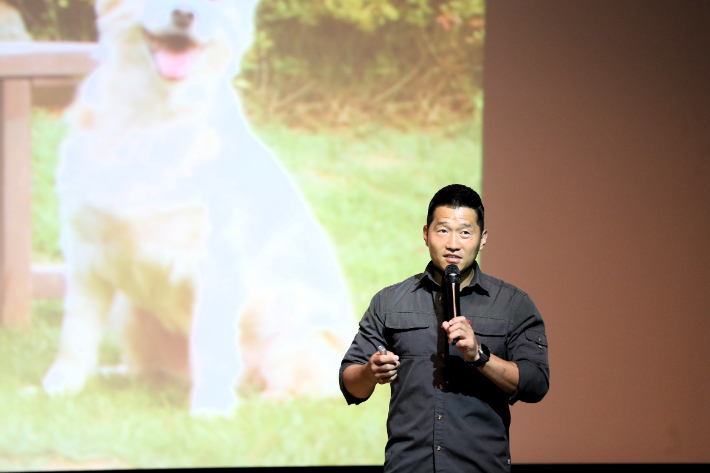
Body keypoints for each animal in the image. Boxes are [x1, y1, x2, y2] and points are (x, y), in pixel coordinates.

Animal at [43, 0, 354, 412]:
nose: (184, 15)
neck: (152, 117)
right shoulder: (86, 254)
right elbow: (74, 337)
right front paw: (57, 389)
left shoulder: (215, 261)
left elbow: (209, 343)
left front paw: (210, 408)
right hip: (129, 311)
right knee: (146, 368)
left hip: (296, 337)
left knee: (302, 387)